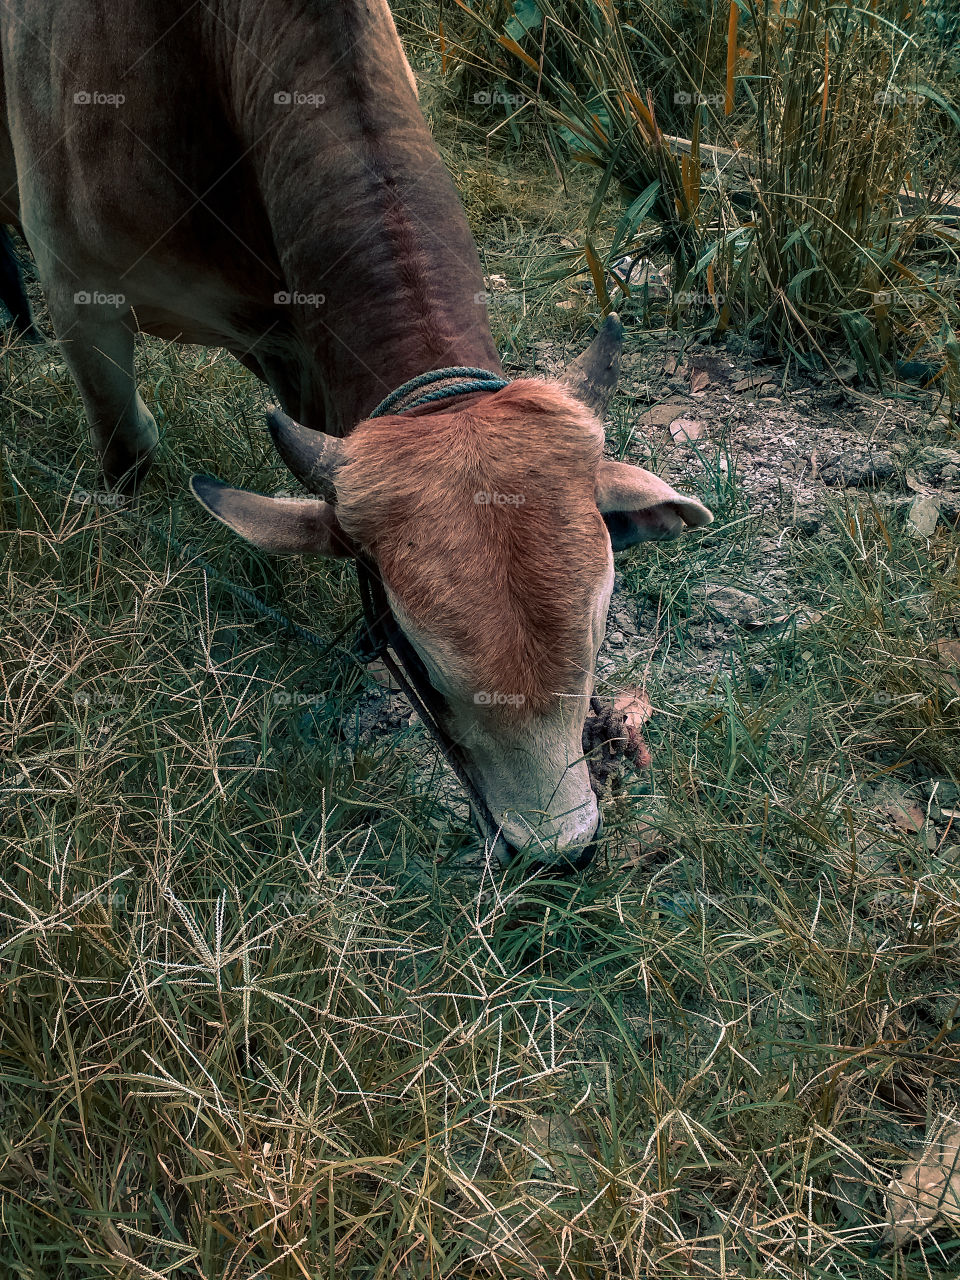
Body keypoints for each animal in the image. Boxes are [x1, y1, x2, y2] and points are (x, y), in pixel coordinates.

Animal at [1, 0, 716, 870]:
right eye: (420, 658)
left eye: (599, 622)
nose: (561, 851)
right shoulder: (81, 296)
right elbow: (129, 451)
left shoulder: (298, 345)